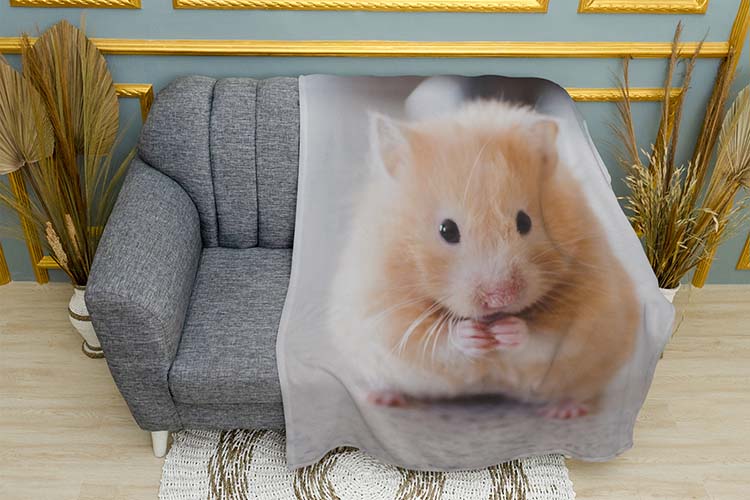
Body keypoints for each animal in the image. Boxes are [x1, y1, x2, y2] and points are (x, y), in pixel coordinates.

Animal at [329, 100, 639, 419]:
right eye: (447, 230)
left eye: (525, 222)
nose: (500, 298)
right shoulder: (384, 313)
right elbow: (434, 342)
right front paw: (472, 335)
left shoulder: (587, 307)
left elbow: (544, 338)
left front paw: (508, 331)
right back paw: (380, 398)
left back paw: (564, 411)